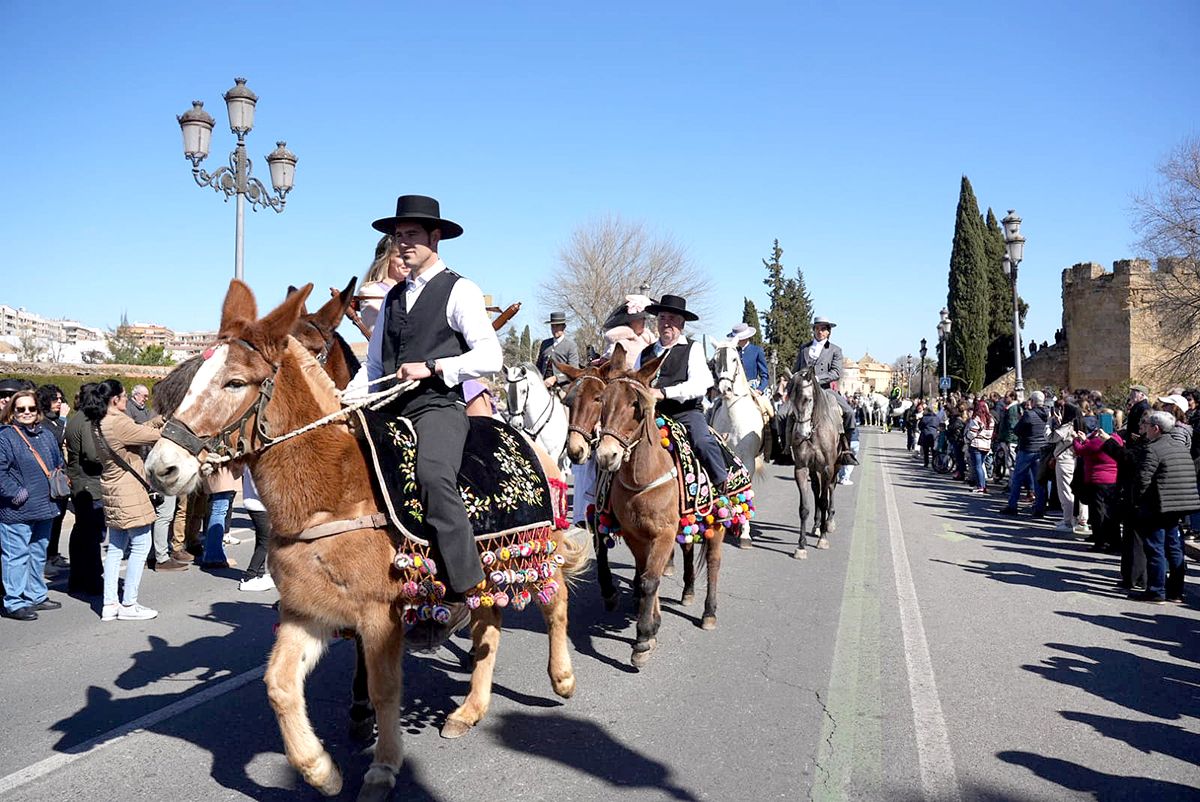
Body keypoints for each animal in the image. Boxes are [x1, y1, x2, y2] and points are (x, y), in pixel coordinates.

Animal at [147, 280, 588, 802]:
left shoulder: (379, 615)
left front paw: (382, 767)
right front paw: (320, 769)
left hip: (537, 550)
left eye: (235, 382)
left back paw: (562, 678)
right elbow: (279, 684)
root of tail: (524, 436)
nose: (160, 467)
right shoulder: (306, 611)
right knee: (489, 628)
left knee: (556, 603)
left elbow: (384, 688)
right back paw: (469, 709)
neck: (331, 492)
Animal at [590, 348, 720, 667]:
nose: (606, 456)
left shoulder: (663, 533)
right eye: (602, 400)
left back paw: (709, 612)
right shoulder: (636, 534)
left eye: (637, 405)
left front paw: (642, 638)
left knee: (713, 561)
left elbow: (650, 580)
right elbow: (647, 574)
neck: (644, 477)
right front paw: (652, 626)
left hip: (718, 524)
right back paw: (688, 592)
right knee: (688, 550)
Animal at [787, 364, 844, 557]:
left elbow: (824, 501)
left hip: (835, 467)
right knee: (817, 491)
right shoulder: (801, 468)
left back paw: (829, 523)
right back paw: (818, 525)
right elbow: (804, 507)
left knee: (830, 490)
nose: (800, 434)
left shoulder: (827, 468)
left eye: (807, 399)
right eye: (790, 398)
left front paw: (823, 540)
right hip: (814, 470)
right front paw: (801, 545)